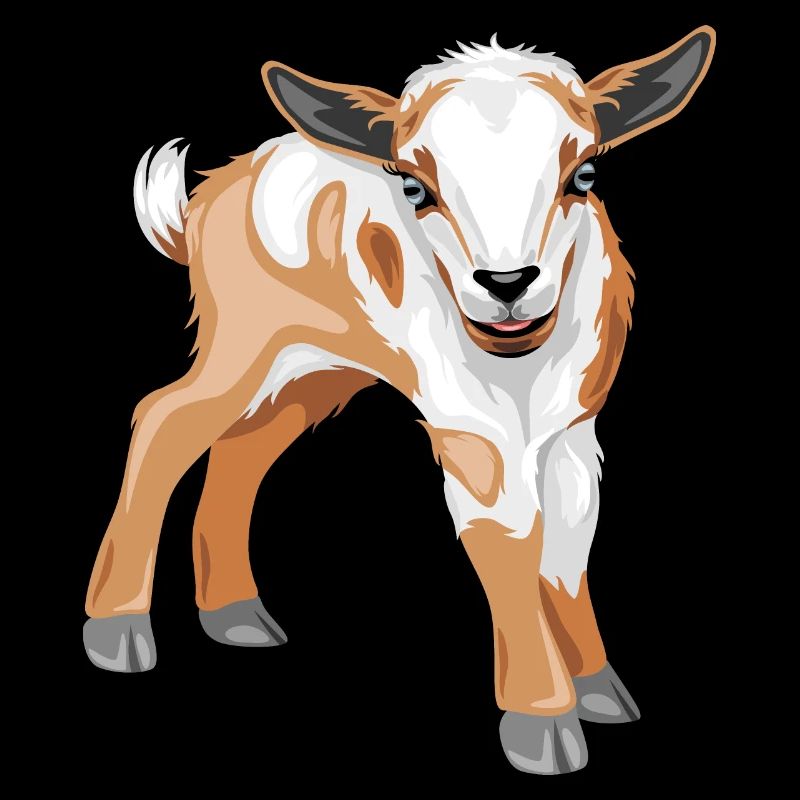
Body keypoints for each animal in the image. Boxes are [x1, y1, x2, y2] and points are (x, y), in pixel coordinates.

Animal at [83, 28, 715, 774]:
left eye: (584, 175)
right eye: (415, 186)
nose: (507, 284)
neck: (521, 373)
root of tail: (215, 189)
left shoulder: (574, 432)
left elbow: (567, 548)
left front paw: (599, 688)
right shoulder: (470, 430)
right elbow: (509, 543)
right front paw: (542, 724)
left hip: (312, 373)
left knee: (245, 448)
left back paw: (234, 614)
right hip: (243, 343)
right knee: (165, 419)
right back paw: (117, 628)